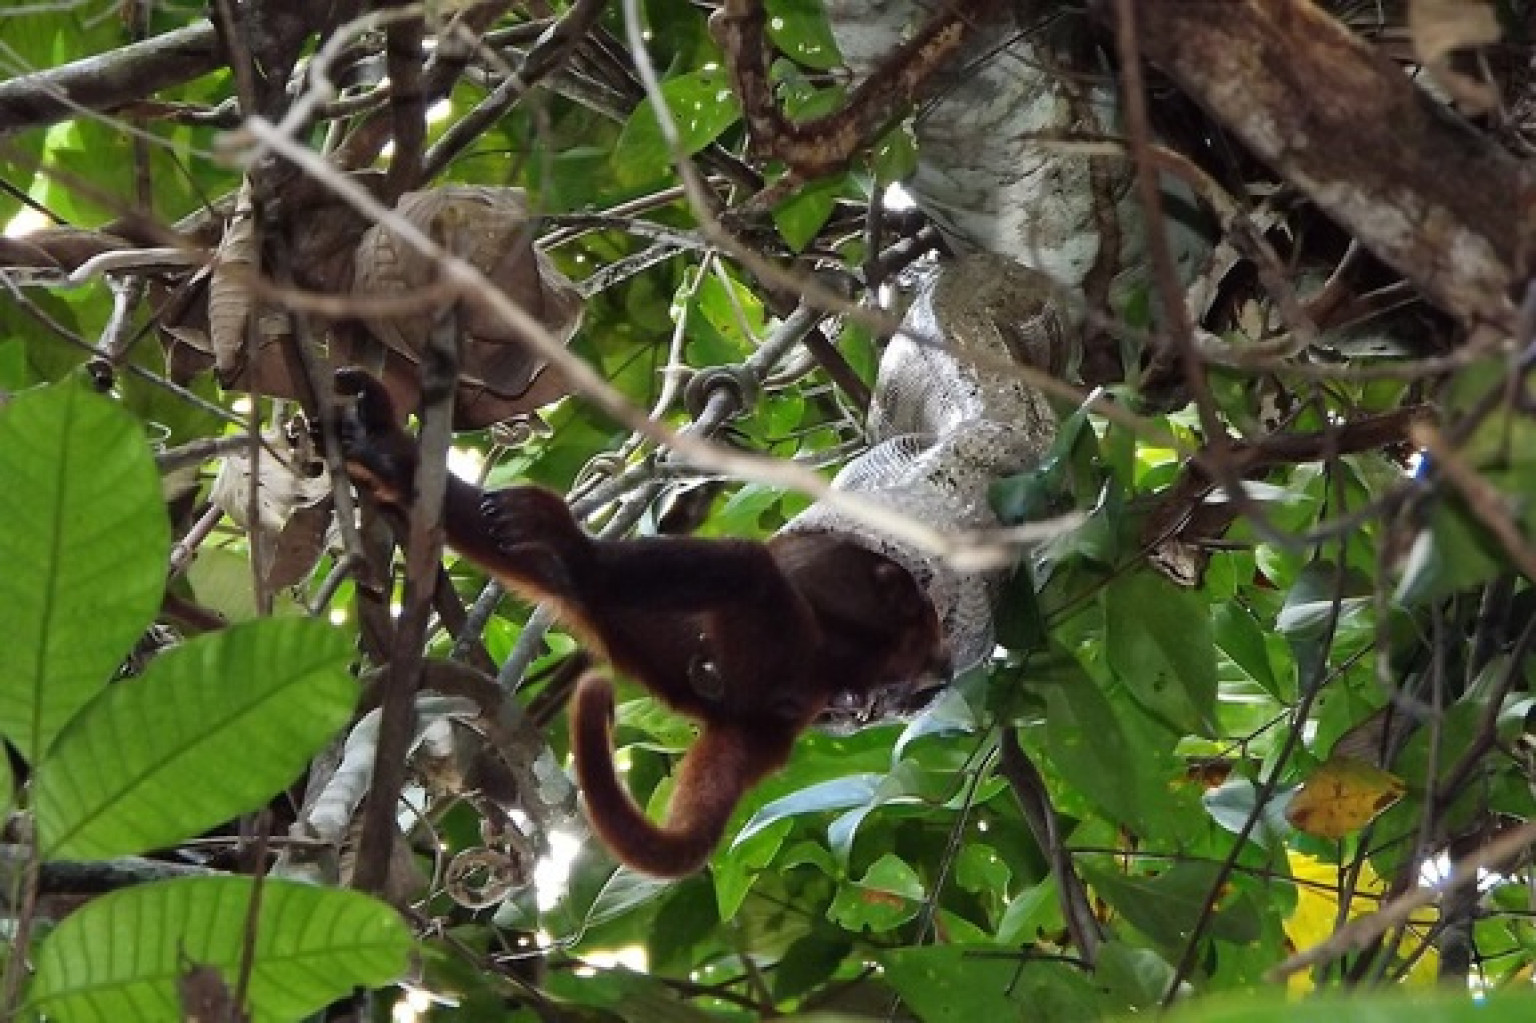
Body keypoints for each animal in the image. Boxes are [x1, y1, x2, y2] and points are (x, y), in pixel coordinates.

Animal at [333, 368, 946, 878]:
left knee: (744, 570)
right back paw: (393, 460)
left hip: (759, 645)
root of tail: (766, 723)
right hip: (676, 646)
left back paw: (577, 553)